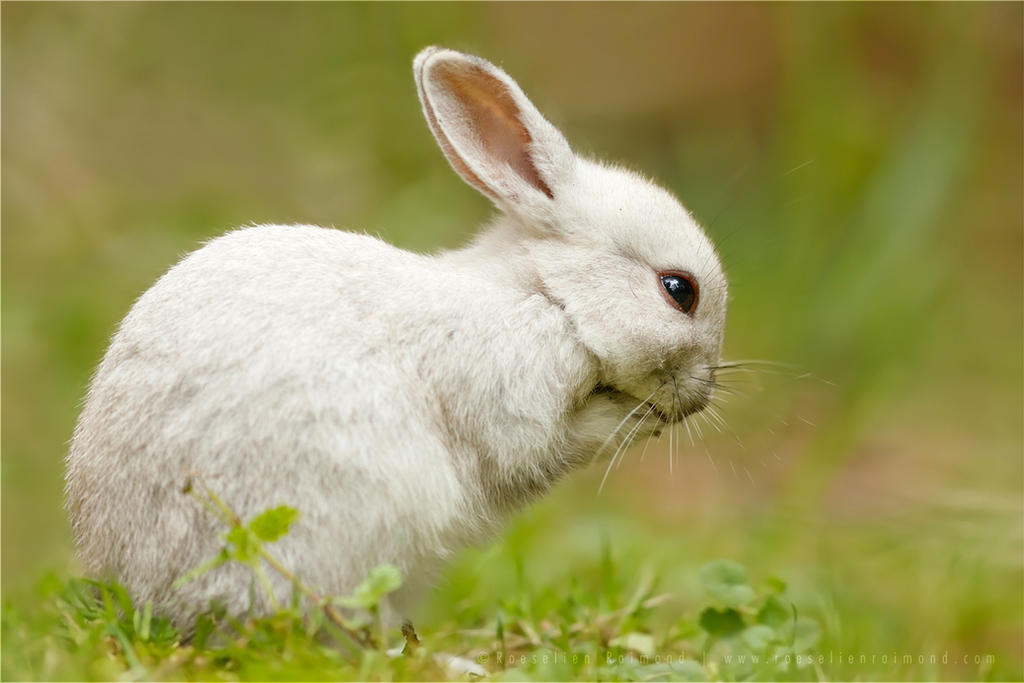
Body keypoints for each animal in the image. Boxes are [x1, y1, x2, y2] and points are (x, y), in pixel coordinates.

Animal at [65, 46, 728, 632]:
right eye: (678, 290)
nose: (701, 394)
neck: (547, 296)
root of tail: (153, 596)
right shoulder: (517, 406)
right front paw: (635, 419)